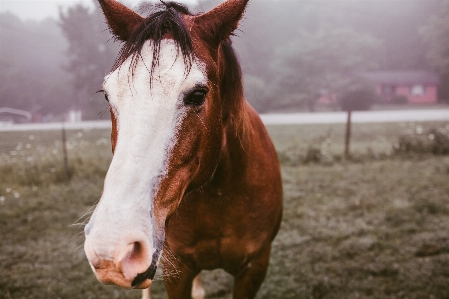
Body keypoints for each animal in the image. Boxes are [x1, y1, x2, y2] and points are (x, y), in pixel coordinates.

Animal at [82, 0, 282, 298]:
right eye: (107, 95)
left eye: (198, 94)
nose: (111, 247)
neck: (218, 195)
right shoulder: (176, 270)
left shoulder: (254, 267)